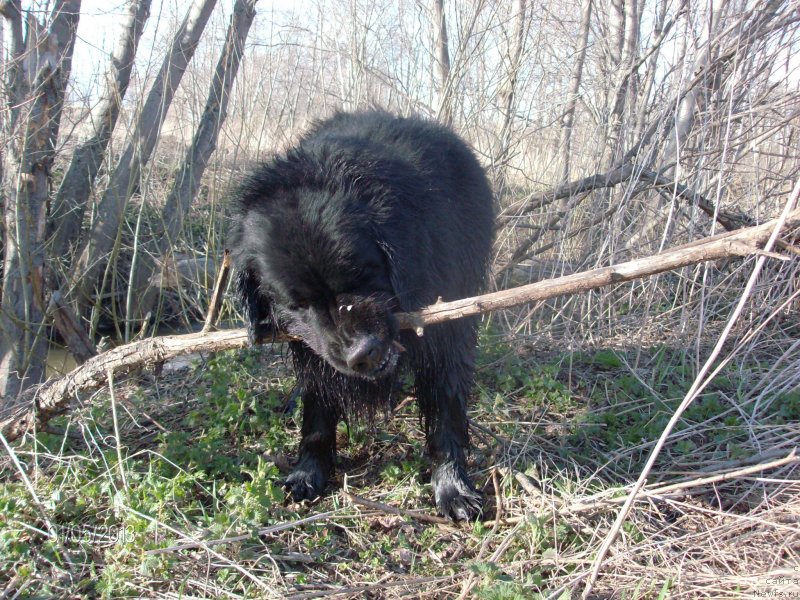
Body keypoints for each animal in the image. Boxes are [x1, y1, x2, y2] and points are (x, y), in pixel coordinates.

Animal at [225, 111, 496, 520]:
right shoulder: (315, 352)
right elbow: (317, 411)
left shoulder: (449, 324)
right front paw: (307, 472)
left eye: (361, 275)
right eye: (297, 304)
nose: (361, 354)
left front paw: (453, 488)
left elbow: (445, 411)